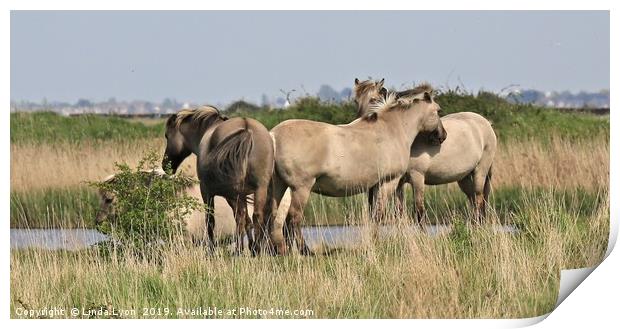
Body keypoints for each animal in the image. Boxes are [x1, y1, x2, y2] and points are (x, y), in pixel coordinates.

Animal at [162, 105, 274, 254]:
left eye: (167, 136)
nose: (165, 165)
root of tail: (246, 129)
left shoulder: (207, 191)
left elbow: (210, 220)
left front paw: (211, 249)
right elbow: (248, 220)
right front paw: (251, 245)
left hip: (234, 192)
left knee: (239, 217)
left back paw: (239, 250)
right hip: (260, 188)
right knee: (256, 216)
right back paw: (256, 249)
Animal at [272, 85, 446, 254]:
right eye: (438, 110)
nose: (443, 136)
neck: (392, 129)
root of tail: (273, 135)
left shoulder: (374, 186)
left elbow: (373, 215)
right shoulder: (388, 182)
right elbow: (379, 215)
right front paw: (375, 243)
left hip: (280, 187)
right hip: (301, 188)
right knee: (293, 219)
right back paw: (305, 251)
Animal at [356, 79, 496, 220]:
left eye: (375, 100)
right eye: (356, 101)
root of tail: (486, 122)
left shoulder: (417, 177)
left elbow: (419, 211)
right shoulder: (397, 182)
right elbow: (399, 211)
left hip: (480, 172)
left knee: (479, 200)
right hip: (464, 177)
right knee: (473, 201)